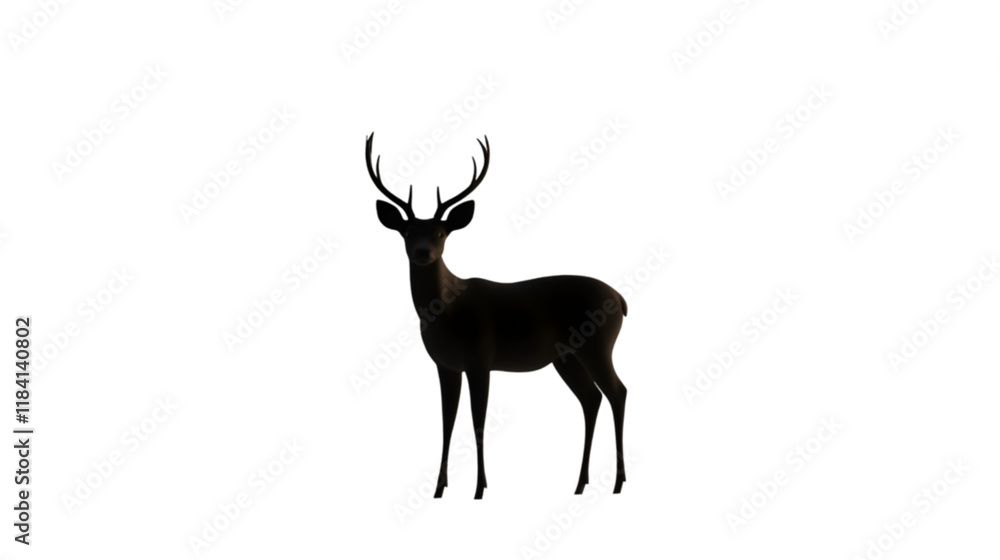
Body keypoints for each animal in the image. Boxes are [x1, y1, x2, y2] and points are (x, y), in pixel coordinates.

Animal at [366, 133, 628, 499]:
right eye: (406, 232)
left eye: (441, 233)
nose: (422, 252)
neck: (447, 313)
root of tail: (621, 299)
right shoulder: (446, 364)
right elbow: (447, 420)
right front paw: (439, 489)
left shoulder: (480, 360)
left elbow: (478, 420)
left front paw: (479, 489)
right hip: (566, 358)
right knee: (591, 398)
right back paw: (579, 484)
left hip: (597, 346)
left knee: (618, 392)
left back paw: (617, 482)